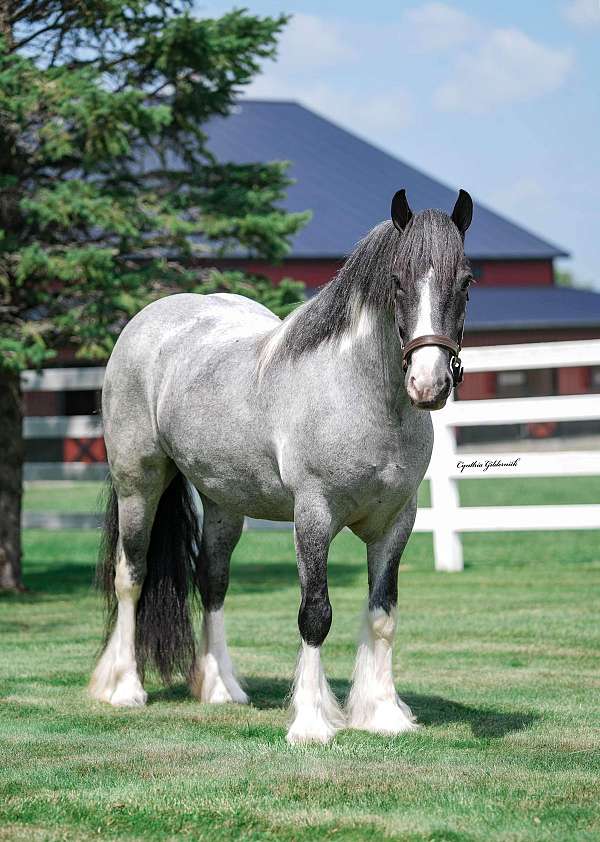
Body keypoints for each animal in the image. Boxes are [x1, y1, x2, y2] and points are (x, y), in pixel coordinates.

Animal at [90, 185, 474, 740]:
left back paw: (221, 689)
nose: (428, 384)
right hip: (137, 483)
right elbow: (315, 613)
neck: (360, 396)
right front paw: (312, 722)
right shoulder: (312, 515)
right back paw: (124, 688)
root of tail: (149, 320)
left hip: (223, 501)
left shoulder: (395, 523)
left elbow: (383, 614)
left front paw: (383, 714)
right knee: (131, 575)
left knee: (212, 581)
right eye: (397, 281)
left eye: (465, 281)